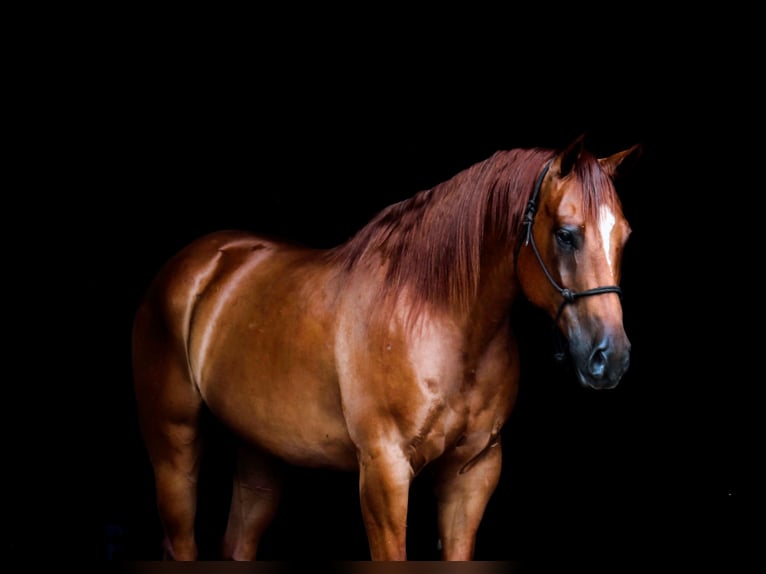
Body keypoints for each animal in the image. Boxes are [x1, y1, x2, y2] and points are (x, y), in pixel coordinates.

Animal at [130, 136, 640, 564]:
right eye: (566, 234)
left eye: (624, 236)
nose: (610, 357)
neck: (438, 317)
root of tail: (201, 262)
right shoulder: (384, 472)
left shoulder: (473, 473)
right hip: (173, 448)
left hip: (260, 452)